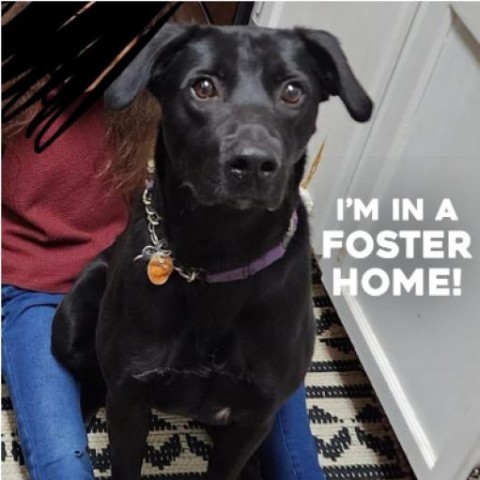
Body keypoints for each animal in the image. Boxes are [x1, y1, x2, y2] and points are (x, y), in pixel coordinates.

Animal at [52, 23, 374, 480]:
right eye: (202, 86)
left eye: (294, 91)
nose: (254, 163)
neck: (219, 252)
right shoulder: (130, 400)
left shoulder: (253, 417)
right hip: (70, 325)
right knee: (94, 374)